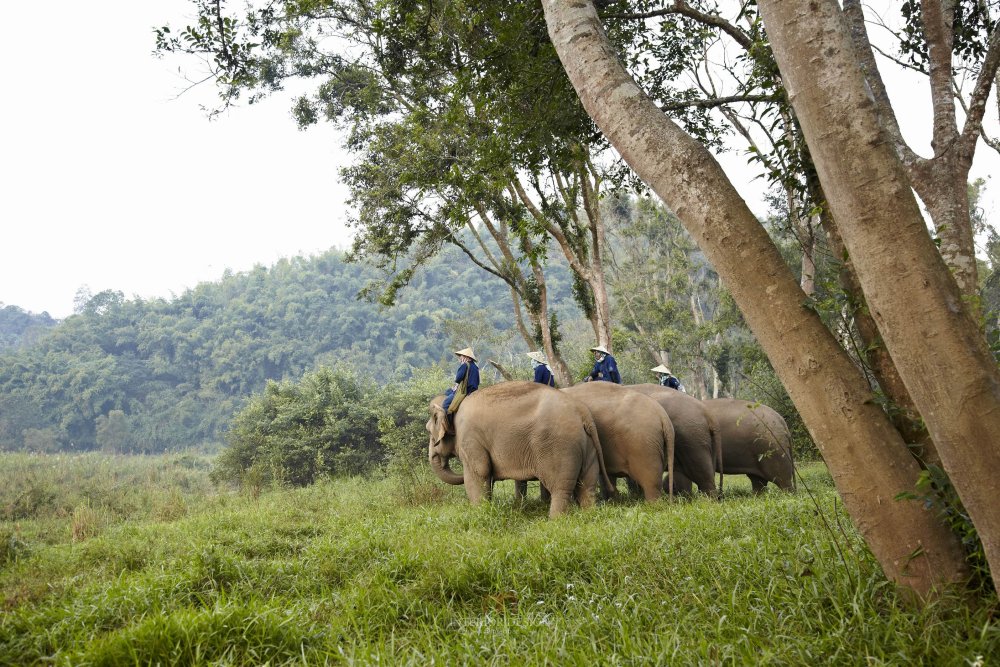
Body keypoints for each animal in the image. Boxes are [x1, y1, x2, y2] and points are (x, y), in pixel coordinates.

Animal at [426, 380, 612, 516]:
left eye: (429, 431)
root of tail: (582, 413)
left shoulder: (470, 438)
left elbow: (479, 472)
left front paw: (478, 512)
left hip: (560, 447)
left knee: (560, 488)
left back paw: (555, 520)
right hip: (587, 445)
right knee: (587, 486)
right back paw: (588, 516)